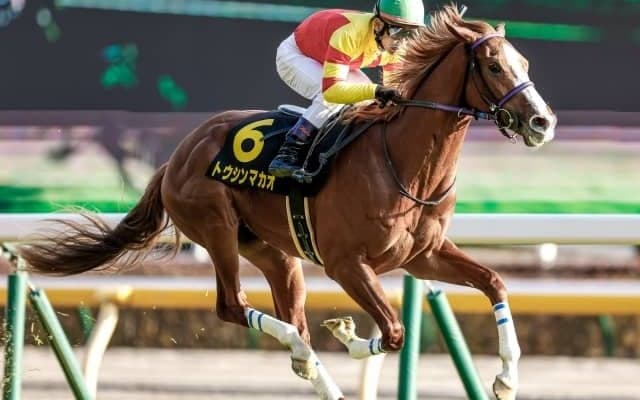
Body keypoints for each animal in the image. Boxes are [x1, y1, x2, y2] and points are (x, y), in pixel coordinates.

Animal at [20, 6, 556, 400]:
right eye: (493, 65)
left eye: (526, 65)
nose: (542, 122)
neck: (403, 162)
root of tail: (177, 155)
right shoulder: (346, 264)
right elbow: (395, 331)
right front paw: (346, 333)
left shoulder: (421, 256)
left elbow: (493, 282)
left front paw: (506, 378)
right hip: (215, 228)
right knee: (235, 308)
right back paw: (303, 350)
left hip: (273, 252)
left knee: (286, 312)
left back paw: (315, 371)